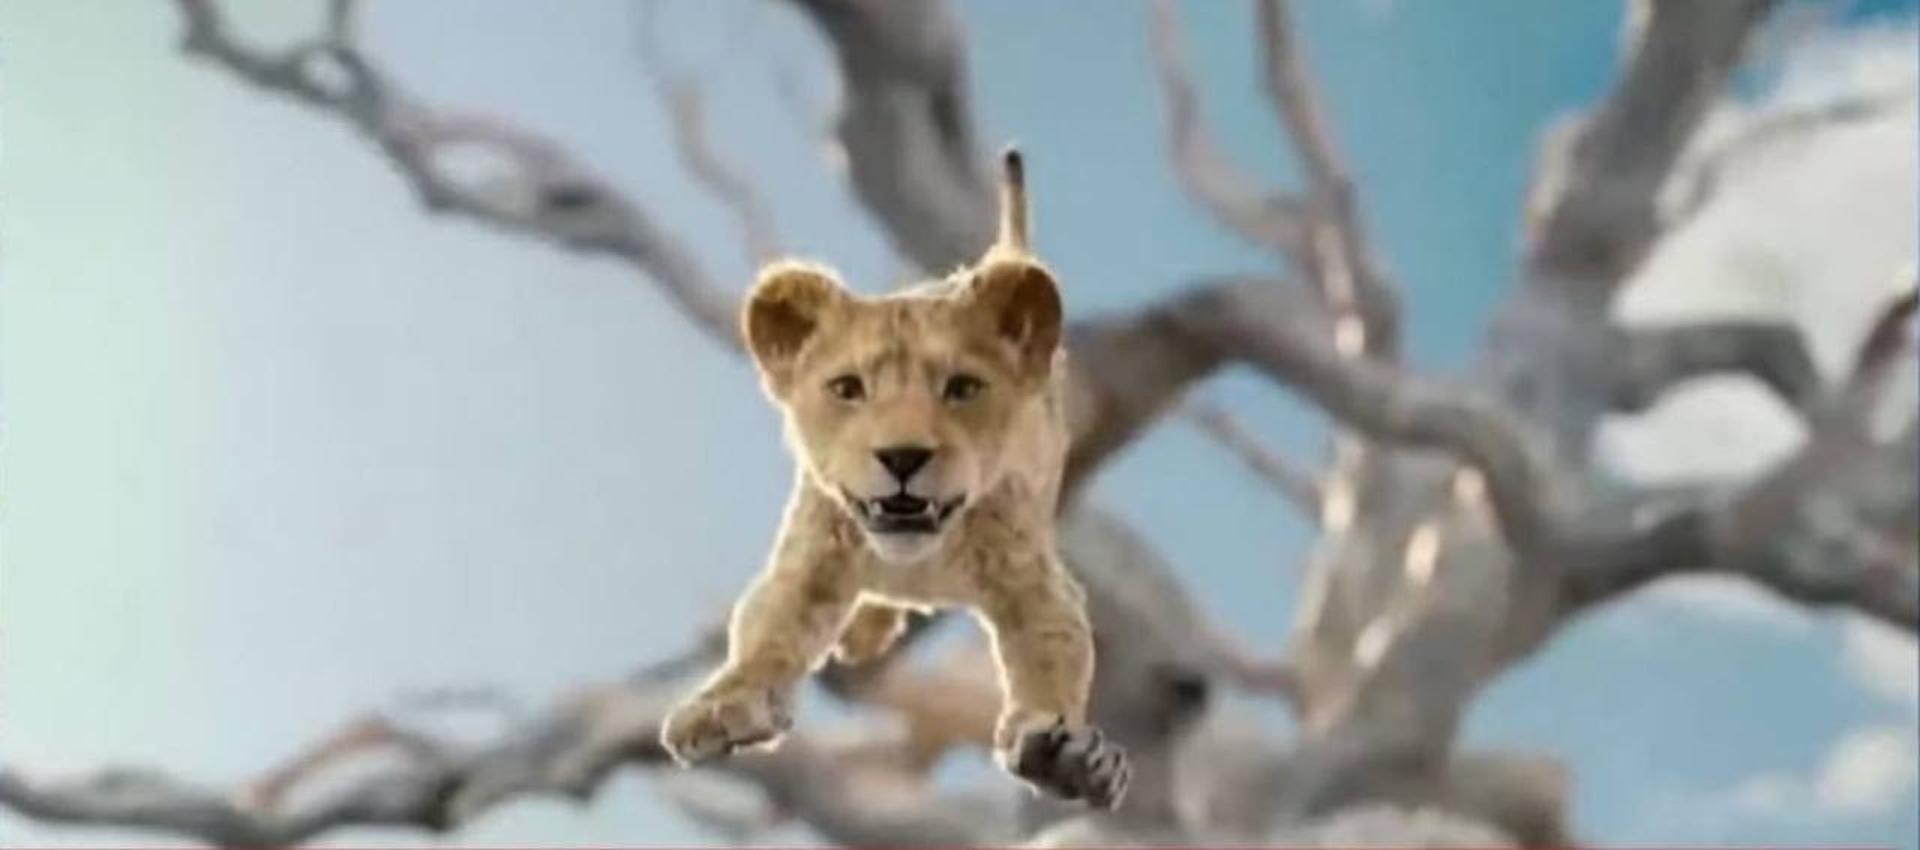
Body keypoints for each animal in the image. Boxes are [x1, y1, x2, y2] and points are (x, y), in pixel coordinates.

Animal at [658, 148, 1130, 809]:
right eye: (848, 388)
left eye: (963, 388)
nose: (903, 456)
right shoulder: (808, 565)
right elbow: (764, 637)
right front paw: (720, 708)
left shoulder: (1035, 583)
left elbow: (1052, 660)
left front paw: (1065, 755)